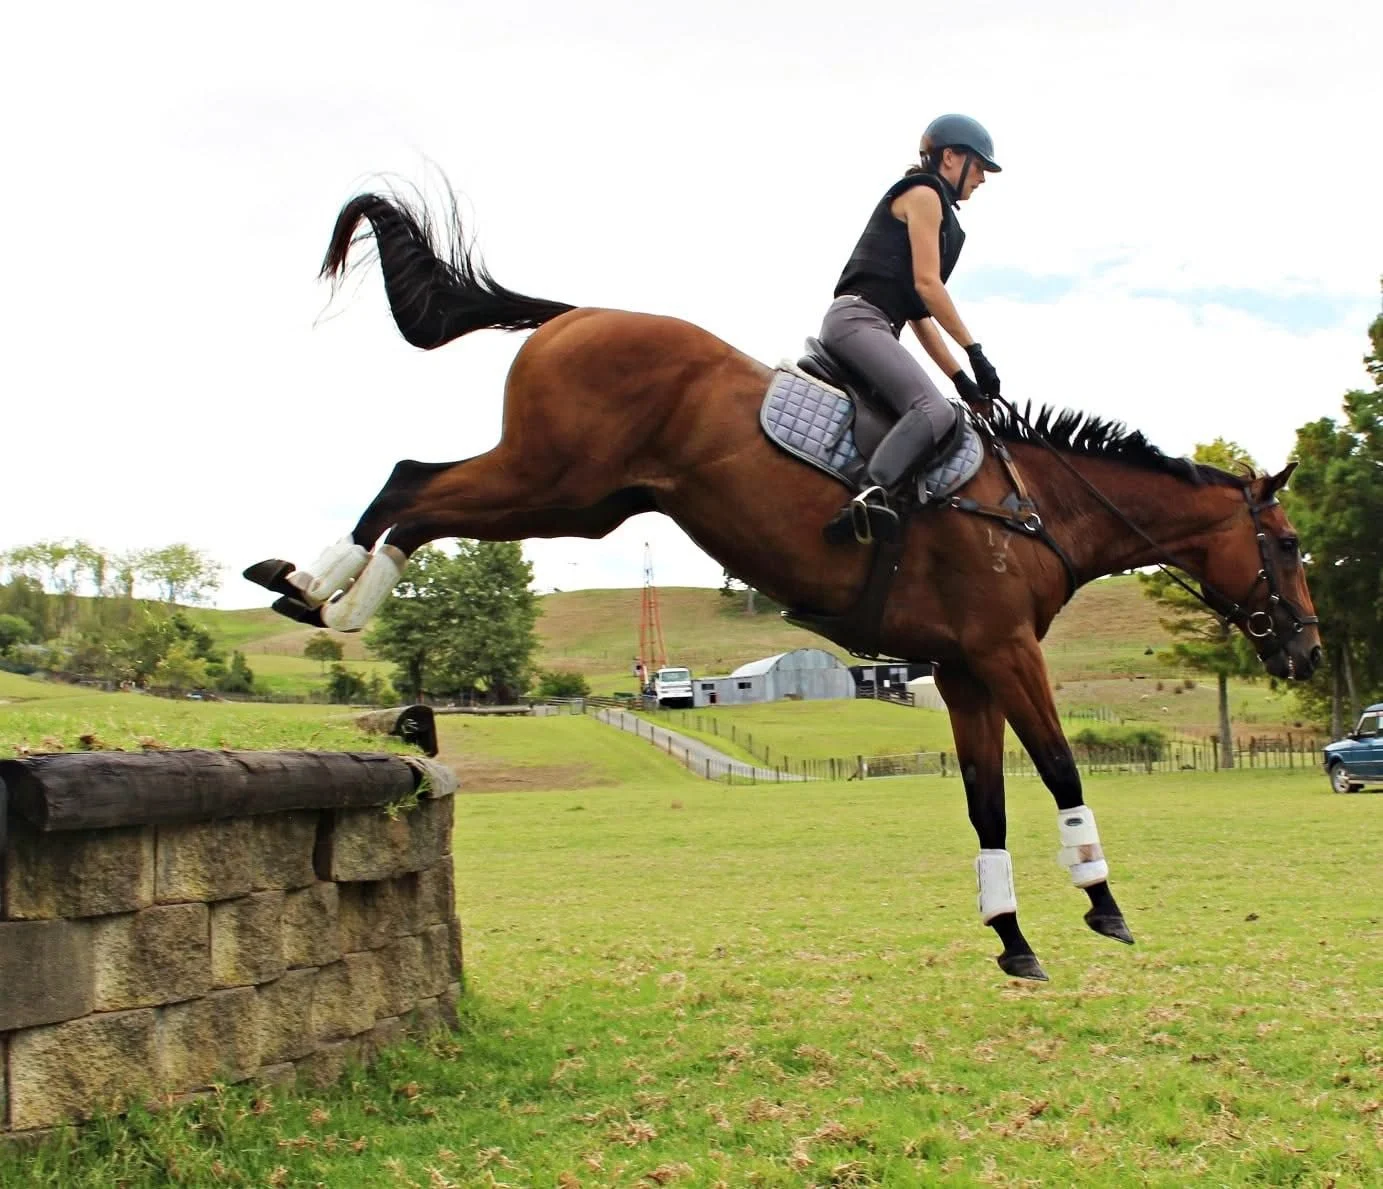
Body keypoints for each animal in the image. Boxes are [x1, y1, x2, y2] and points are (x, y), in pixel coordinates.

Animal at [245, 190, 1322, 981]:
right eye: (1290, 543)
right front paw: (1104, 903)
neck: (1037, 508)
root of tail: (576, 314)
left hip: (579, 500)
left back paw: (304, 586)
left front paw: (1012, 938)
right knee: (411, 486)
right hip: (550, 478)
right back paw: (327, 591)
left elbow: (987, 800)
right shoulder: (1006, 651)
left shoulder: (964, 668)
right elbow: (1059, 770)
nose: (1307, 650)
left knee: (417, 494)